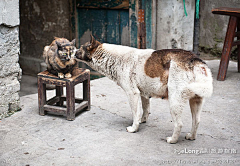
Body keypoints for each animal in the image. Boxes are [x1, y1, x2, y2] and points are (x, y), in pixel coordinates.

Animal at [74, 35, 212, 144]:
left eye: (80, 47)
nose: (72, 51)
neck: (113, 58)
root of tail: (196, 61)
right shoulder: (143, 94)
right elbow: (145, 110)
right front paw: (143, 121)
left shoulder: (132, 93)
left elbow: (135, 113)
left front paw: (134, 128)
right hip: (196, 101)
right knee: (197, 121)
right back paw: (191, 136)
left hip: (175, 102)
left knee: (179, 124)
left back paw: (172, 140)